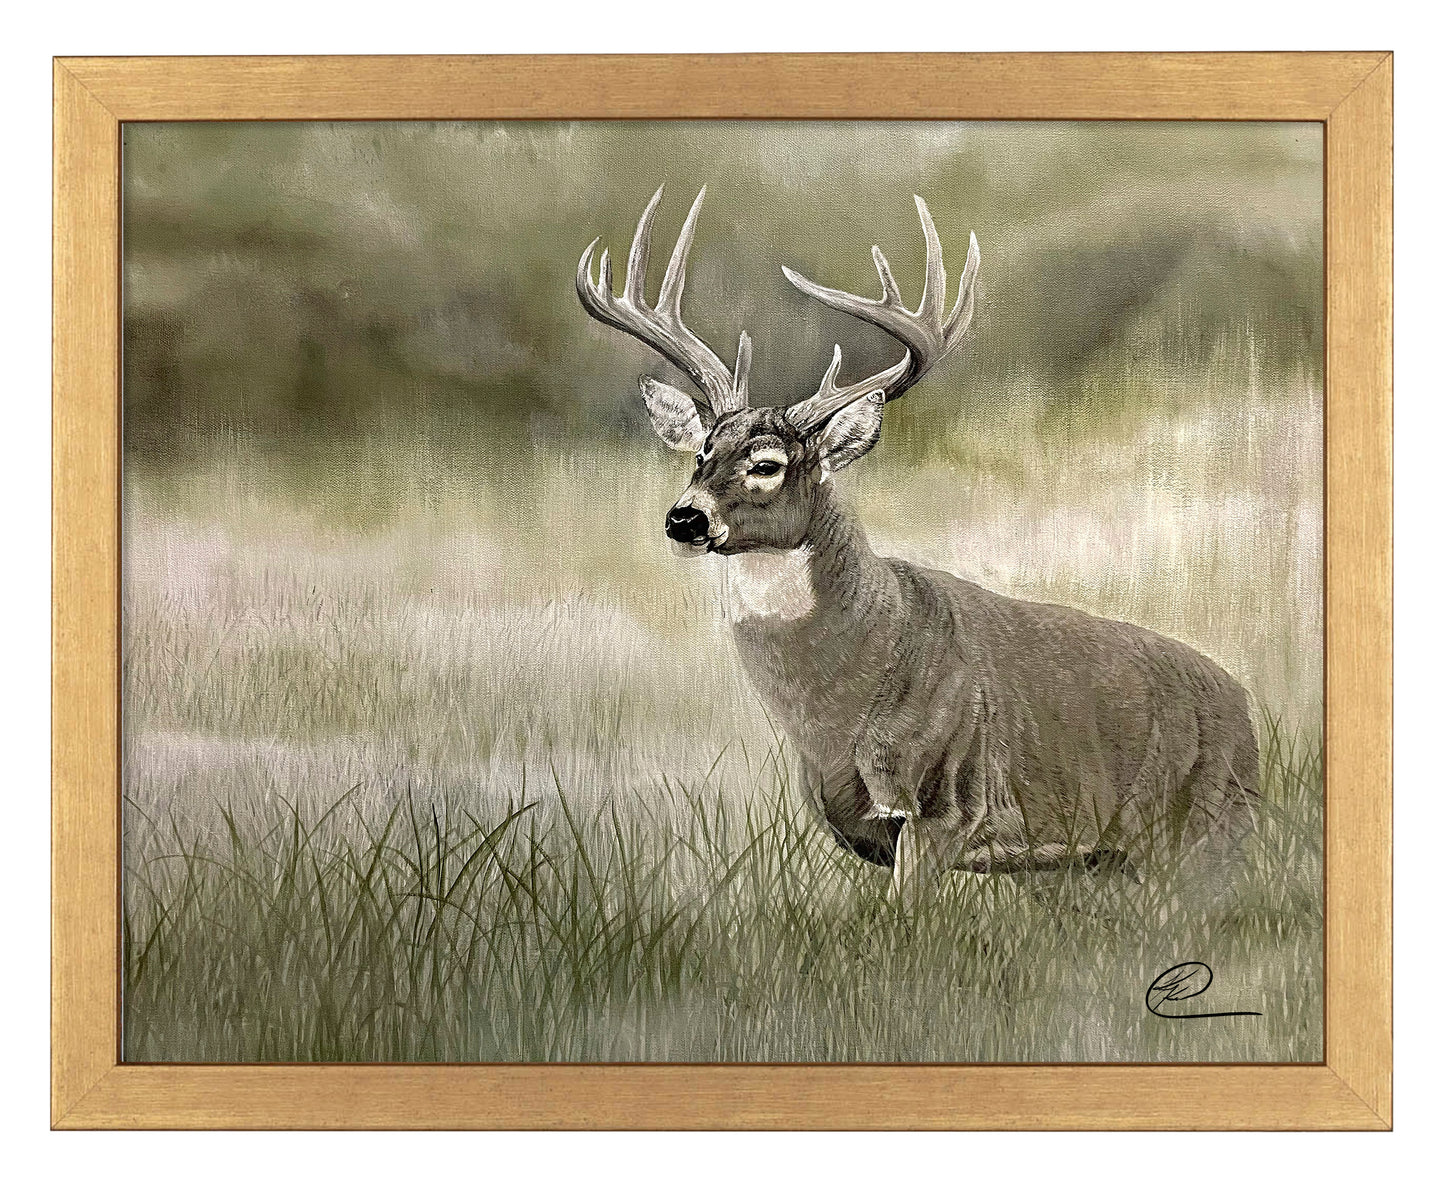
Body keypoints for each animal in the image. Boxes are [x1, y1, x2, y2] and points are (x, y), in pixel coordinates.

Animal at [577, 185, 1259, 907]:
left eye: (766, 463)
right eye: (700, 454)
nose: (684, 519)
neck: (837, 709)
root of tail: (1245, 707)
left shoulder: (946, 803)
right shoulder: (864, 829)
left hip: (1211, 830)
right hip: (1099, 859)